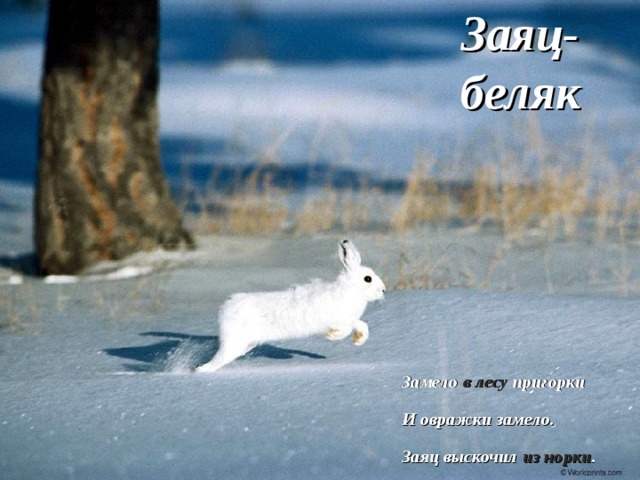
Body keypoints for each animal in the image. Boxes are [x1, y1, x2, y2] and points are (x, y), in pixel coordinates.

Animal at [196, 239, 386, 373]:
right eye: (367, 279)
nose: (383, 290)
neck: (351, 290)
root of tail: (226, 309)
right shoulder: (337, 320)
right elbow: (344, 330)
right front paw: (331, 336)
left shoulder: (351, 320)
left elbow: (362, 325)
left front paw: (358, 341)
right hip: (234, 343)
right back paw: (199, 371)